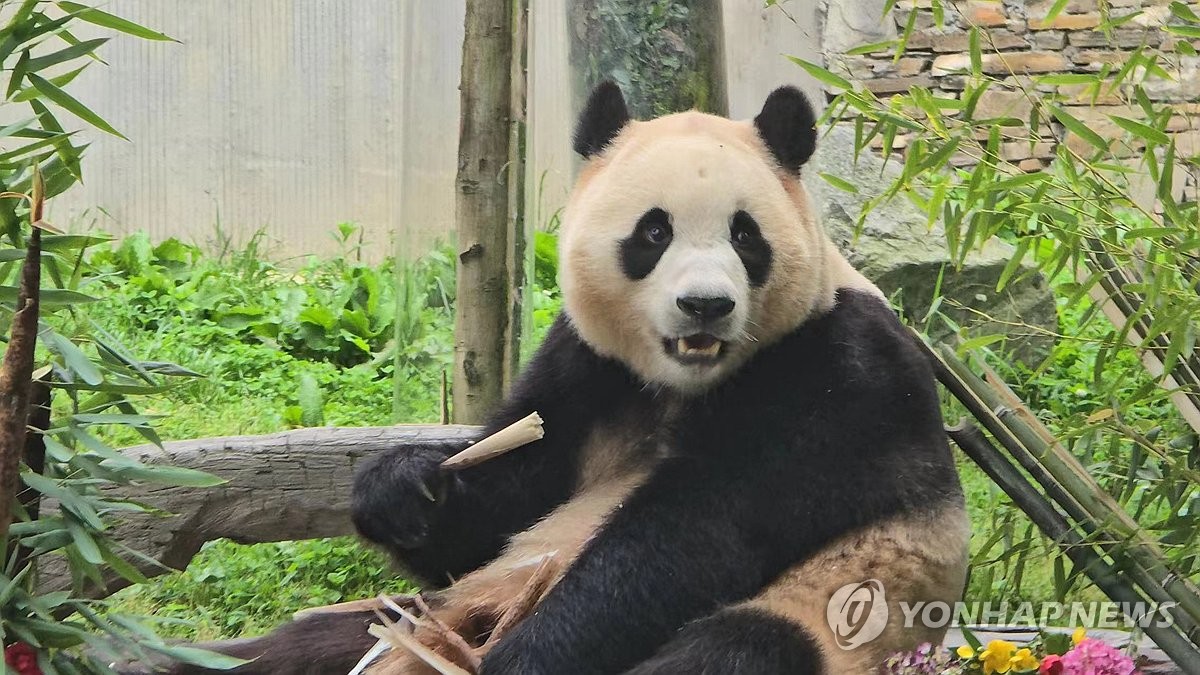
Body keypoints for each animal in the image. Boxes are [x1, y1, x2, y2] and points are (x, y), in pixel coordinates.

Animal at [171, 82, 974, 672]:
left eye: (747, 236)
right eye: (654, 231)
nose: (705, 306)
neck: (682, 382)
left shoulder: (838, 376)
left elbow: (689, 537)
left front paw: (525, 661)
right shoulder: (586, 364)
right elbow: (512, 492)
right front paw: (401, 488)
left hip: (835, 614)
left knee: (738, 648)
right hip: (418, 616)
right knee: (299, 645)